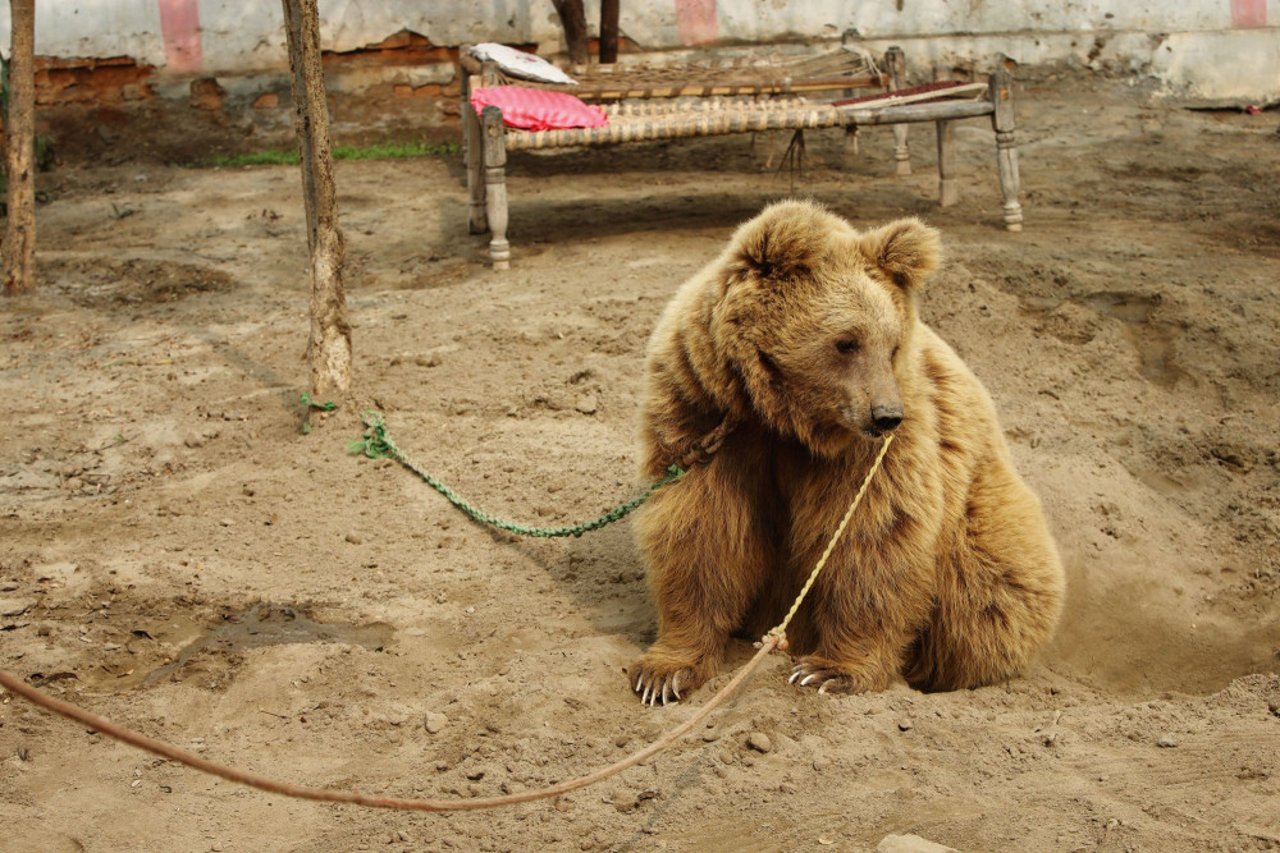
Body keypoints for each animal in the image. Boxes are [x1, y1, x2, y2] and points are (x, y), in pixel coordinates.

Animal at [627, 199, 1059, 701]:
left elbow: (870, 537)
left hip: (984, 520)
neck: (784, 419)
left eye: (892, 345)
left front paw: (828, 670)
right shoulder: (704, 413)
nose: (887, 415)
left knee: (986, 592)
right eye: (846, 342)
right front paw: (664, 672)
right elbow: (702, 527)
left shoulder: (870, 454)